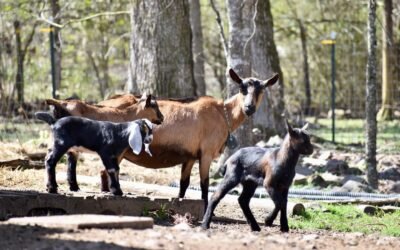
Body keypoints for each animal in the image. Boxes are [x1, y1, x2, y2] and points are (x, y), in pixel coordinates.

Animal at [95, 69, 280, 209]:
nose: (249, 108)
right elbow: (204, 184)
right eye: (242, 88)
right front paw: (205, 209)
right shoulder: (206, 154)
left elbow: (184, 183)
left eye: (261, 90)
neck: (222, 113)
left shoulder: (190, 156)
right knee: (106, 172)